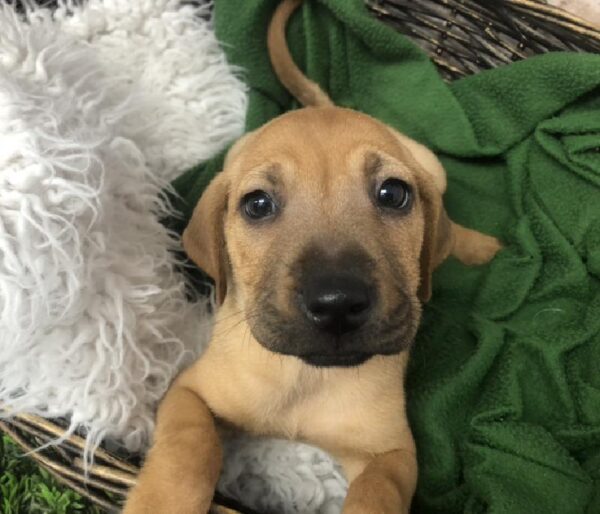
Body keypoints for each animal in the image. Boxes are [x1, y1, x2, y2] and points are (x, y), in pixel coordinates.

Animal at [123, 1, 502, 512]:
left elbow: (376, 493)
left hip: (432, 165)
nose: (337, 303)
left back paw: (481, 246)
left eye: (393, 194)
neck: (305, 377)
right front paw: (161, 500)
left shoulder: (392, 452)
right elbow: (189, 447)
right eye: (257, 205)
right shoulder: (191, 391)